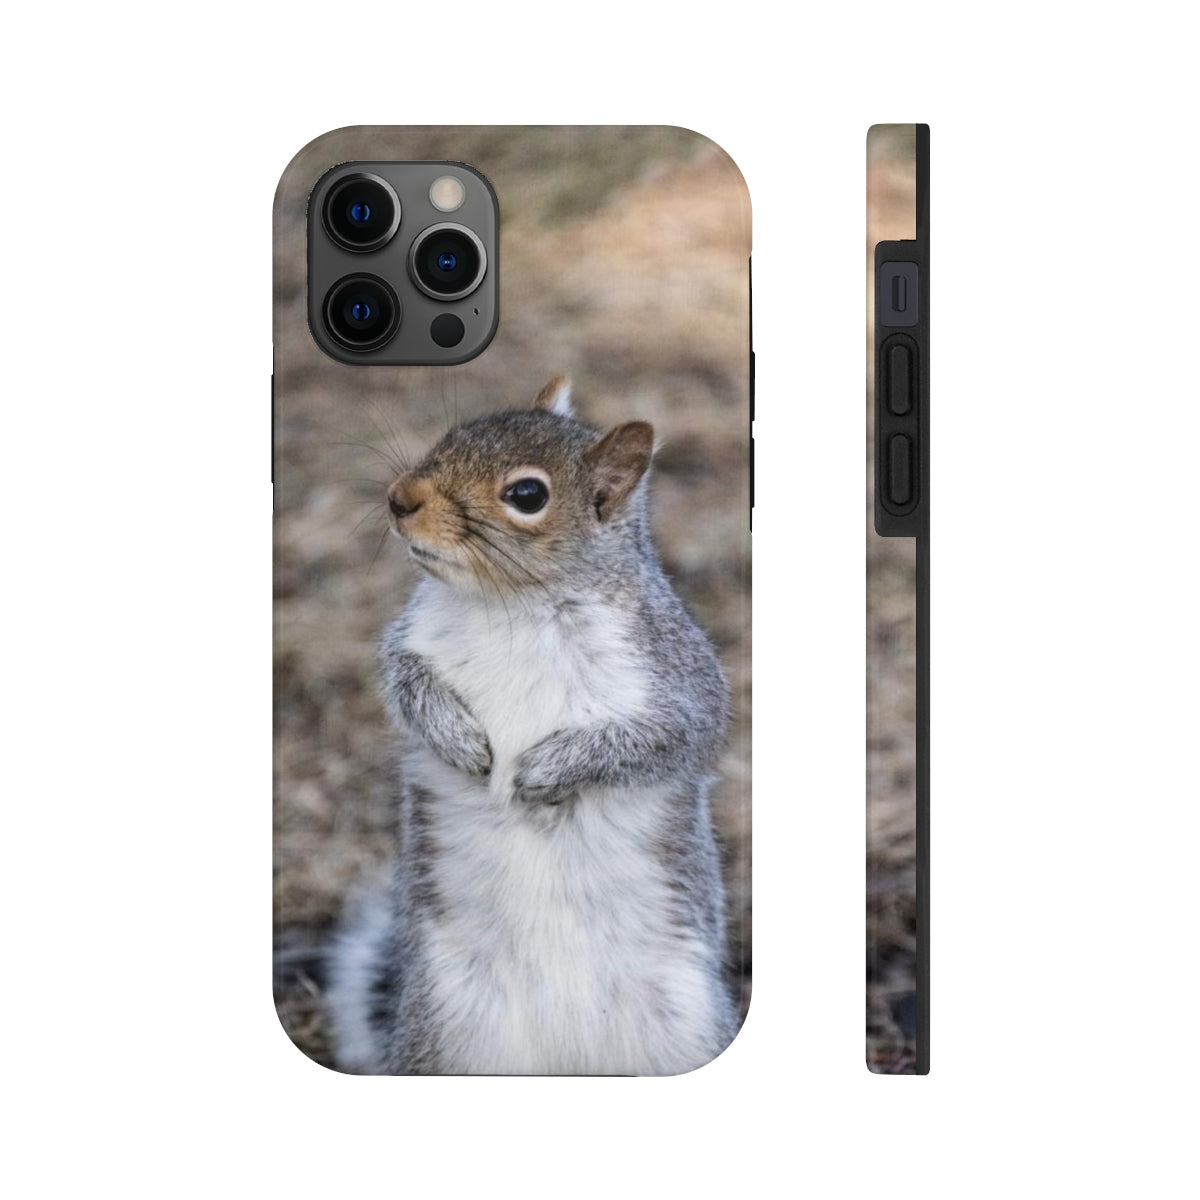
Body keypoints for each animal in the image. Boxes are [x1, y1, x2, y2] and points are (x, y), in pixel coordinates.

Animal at [326, 377, 737, 1075]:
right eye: (452, 435)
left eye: (527, 495)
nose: (400, 499)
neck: (512, 604)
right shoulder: (410, 641)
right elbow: (405, 684)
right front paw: (460, 740)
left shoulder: (676, 678)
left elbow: (665, 739)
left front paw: (546, 771)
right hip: (446, 1033)